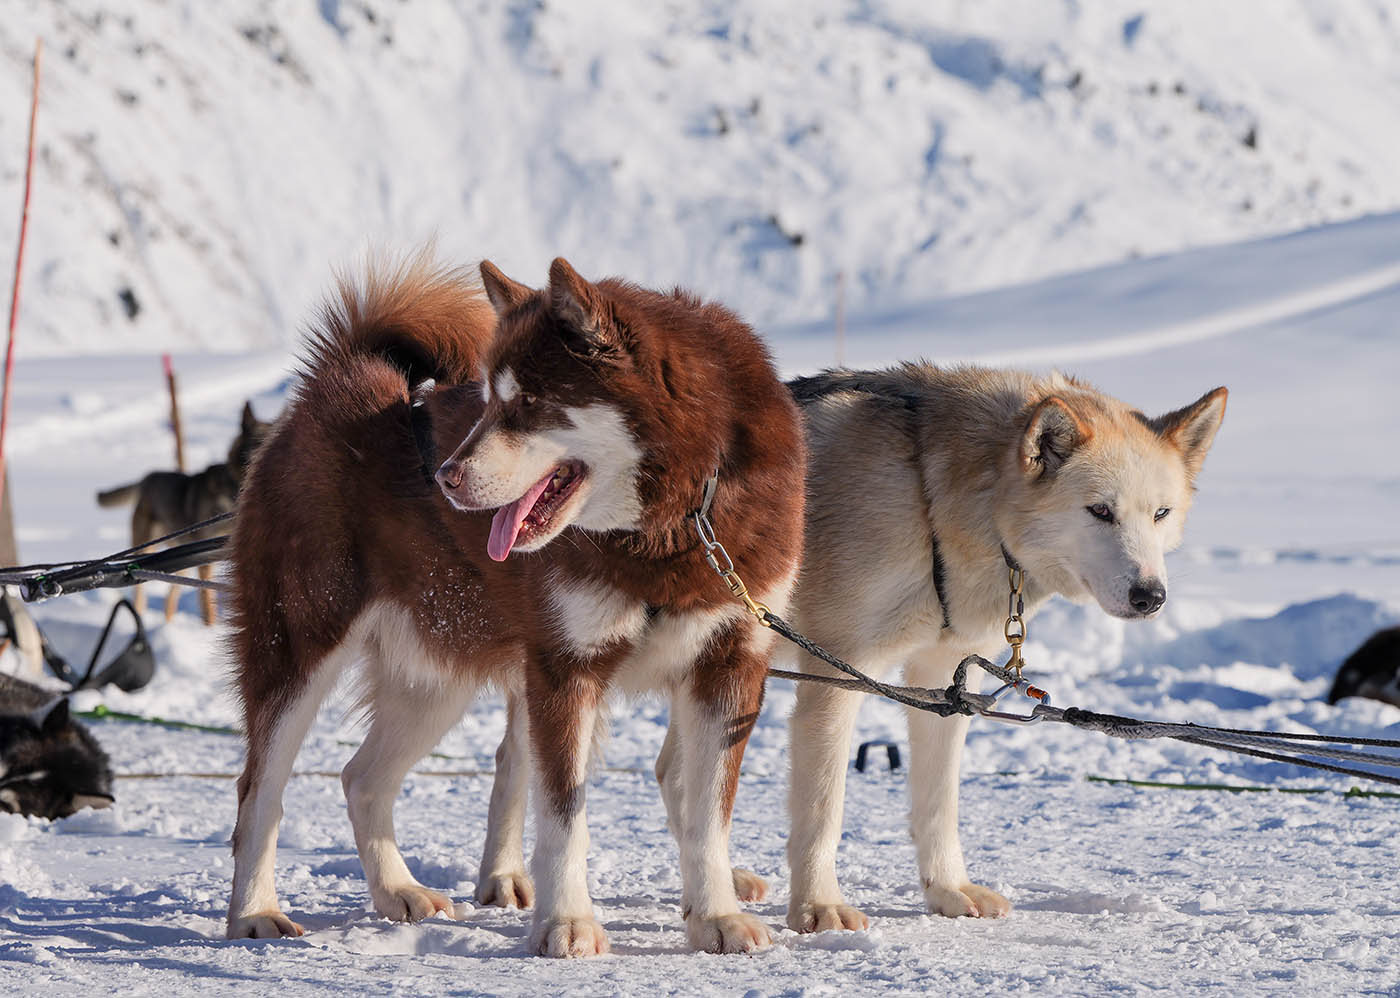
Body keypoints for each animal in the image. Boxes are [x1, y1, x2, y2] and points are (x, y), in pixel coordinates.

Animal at [224, 257, 806, 957]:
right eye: (488, 400)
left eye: (526, 403)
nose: (444, 476)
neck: (672, 526)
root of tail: (343, 380)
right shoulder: (566, 670)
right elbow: (563, 816)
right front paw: (568, 922)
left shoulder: (729, 668)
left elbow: (707, 815)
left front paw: (715, 915)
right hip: (301, 649)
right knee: (261, 791)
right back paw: (254, 911)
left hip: (436, 677)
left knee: (362, 779)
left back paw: (397, 891)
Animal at [784, 366, 1232, 935]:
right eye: (1100, 511)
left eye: (1160, 513)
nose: (1150, 596)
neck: (929, 498)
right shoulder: (838, 672)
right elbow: (824, 807)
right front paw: (818, 905)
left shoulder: (944, 685)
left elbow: (939, 802)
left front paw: (948, 888)